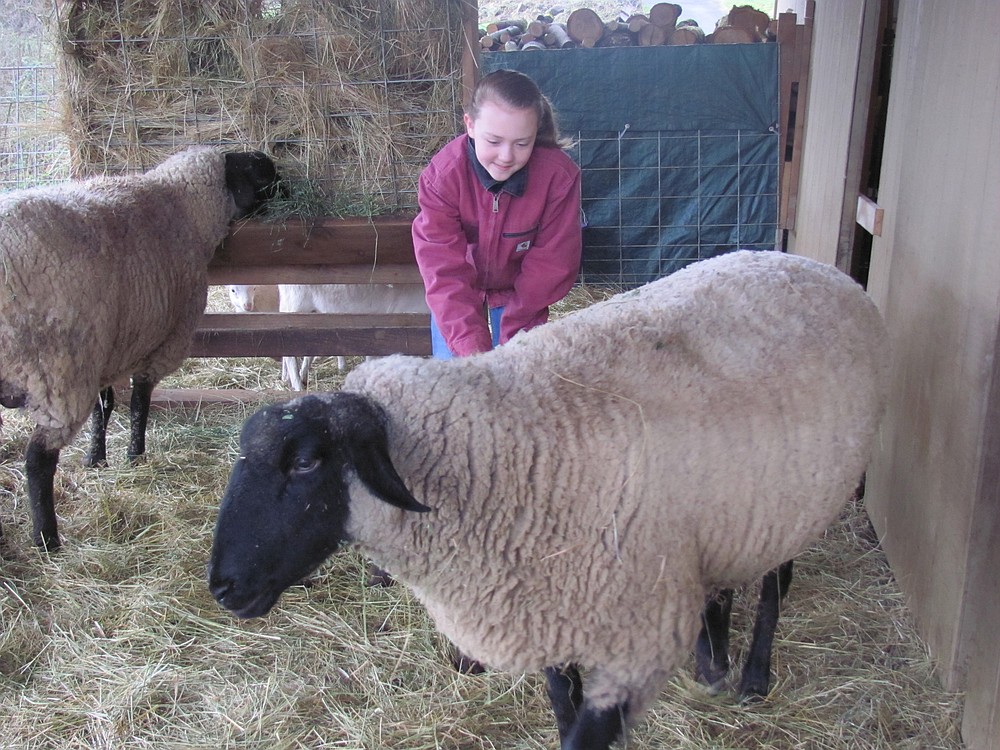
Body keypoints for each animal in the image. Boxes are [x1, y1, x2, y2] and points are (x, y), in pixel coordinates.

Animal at [0, 145, 282, 552]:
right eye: (262, 175)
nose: (288, 192)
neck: (183, 204)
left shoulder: (109, 346)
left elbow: (104, 407)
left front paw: (96, 459)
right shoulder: (157, 344)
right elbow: (139, 402)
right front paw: (135, 455)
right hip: (56, 371)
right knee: (39, 459)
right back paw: (47, 538)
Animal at [207, 250, 888, 748]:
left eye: (305, 462)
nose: (223, 587)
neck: (501, 461)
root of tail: (814, 265)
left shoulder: (630, 644)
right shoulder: (549, 603)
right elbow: (563, 703)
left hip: (797, 496)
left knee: (776, 584)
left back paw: (753, 676)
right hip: (729, 512)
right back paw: (712, 662)